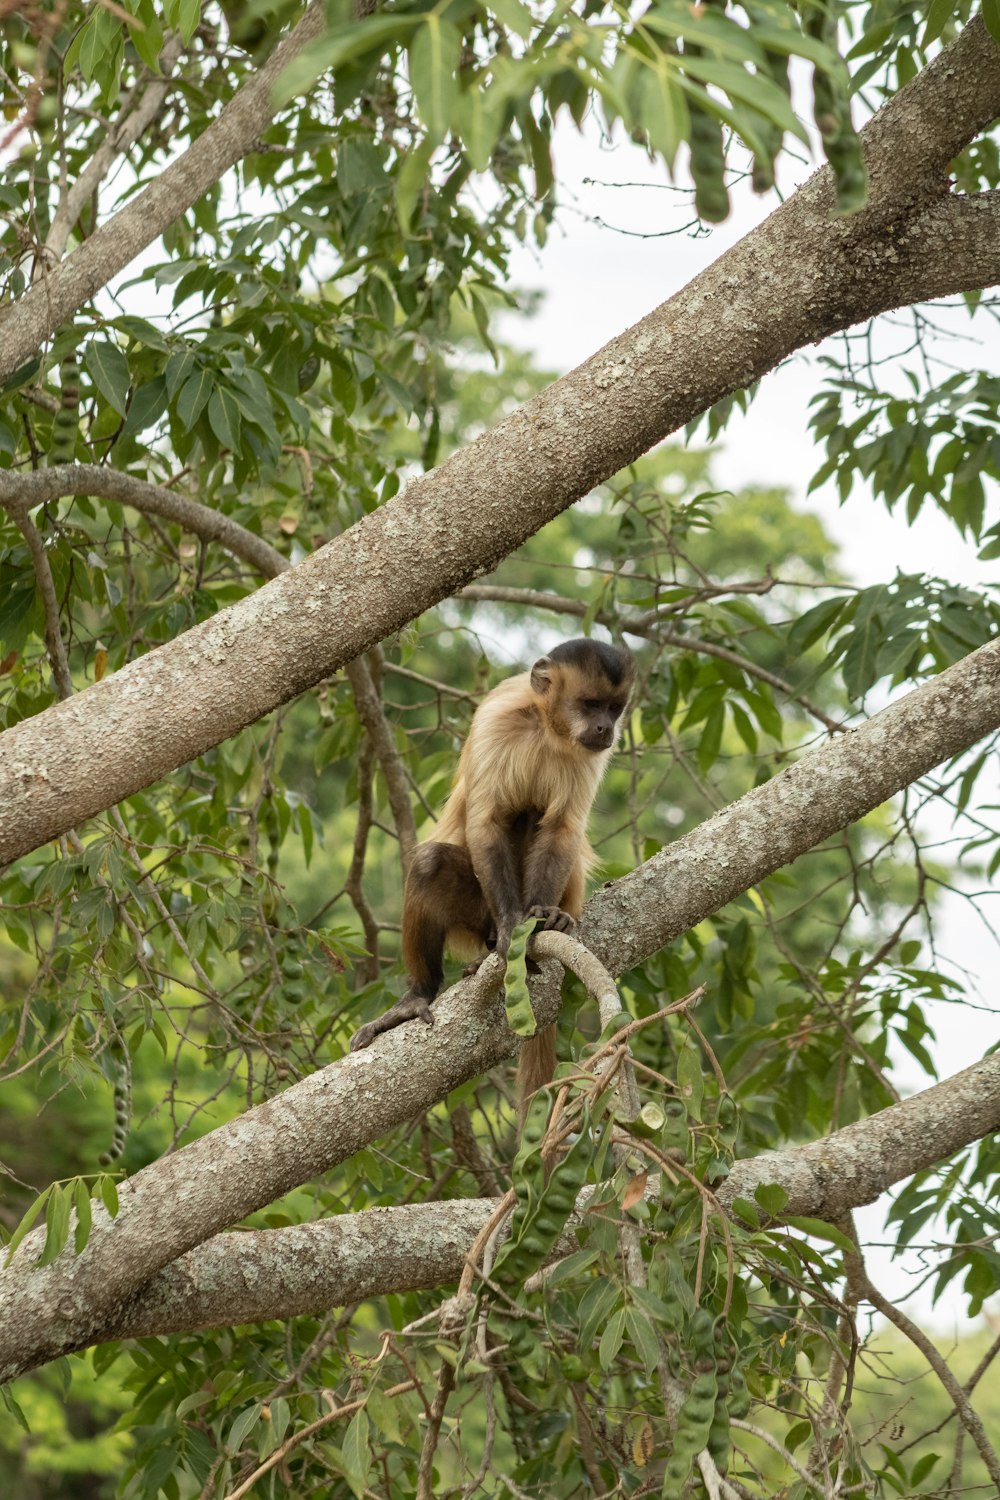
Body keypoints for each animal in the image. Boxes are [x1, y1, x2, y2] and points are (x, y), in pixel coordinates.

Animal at [350, 639, 632, 1110]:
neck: (546, 726)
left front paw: (541, 917)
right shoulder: (495, 721)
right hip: (474, 913)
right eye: (591, 704)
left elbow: (560, 829)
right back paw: (424, 990)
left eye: (614, 708)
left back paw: (555, 918)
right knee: (431, 863)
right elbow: (486, 822)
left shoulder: (593, 755)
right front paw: (511, 925)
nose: (603, 728)